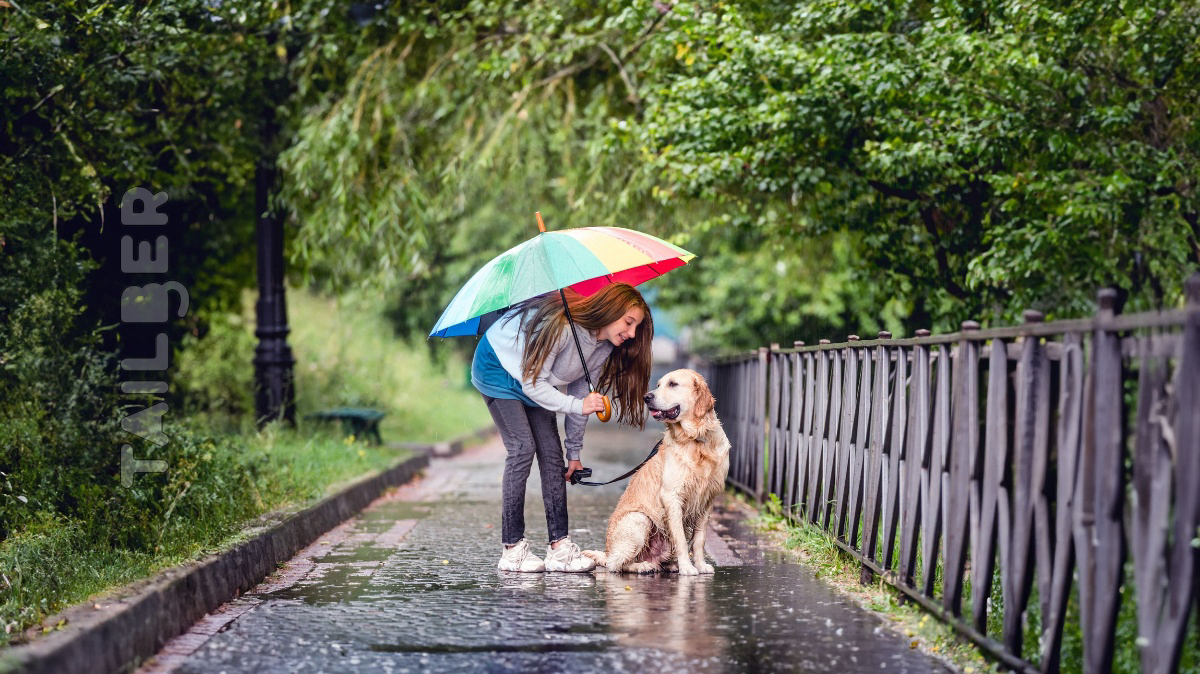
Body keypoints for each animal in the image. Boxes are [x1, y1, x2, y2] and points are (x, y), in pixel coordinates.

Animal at [583, 366, 729, 570]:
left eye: (673, 384)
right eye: (659, 385)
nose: (647, 397)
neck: (696, 439)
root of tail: (607, 551)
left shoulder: (707, 499)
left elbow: (699, 539)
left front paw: (700, 566)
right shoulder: (672, 495)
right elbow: (681, 539)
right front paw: (687, 568)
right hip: (639, 519)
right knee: (615, 563)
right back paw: (642, 566)